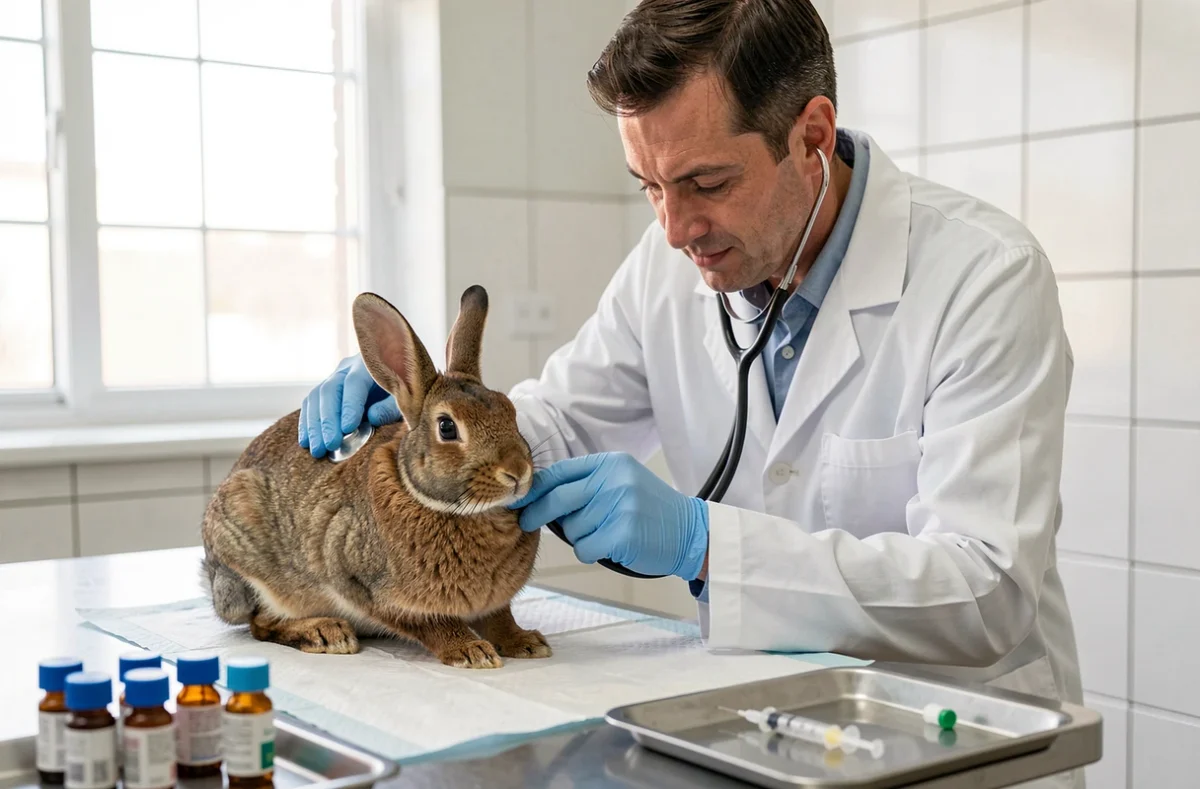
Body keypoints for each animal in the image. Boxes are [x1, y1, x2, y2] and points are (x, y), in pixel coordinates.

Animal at [199, 285, 551, 669]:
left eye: (511, 412)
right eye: (447, 427)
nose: (517, 472)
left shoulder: (494, 602)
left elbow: (500, 617)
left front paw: (525, 643)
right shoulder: (364, 584)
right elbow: (431, 623)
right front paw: (470, 651)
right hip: (254, 565)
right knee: (260, 622)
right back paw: (326, 633)